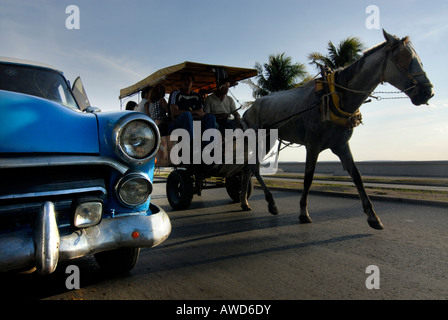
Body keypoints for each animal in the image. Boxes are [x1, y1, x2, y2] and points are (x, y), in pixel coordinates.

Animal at [238, 30, 434, 229]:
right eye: (404, 58)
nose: (428, 92)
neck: (335, 97)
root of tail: (248, 110)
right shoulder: (313, 145)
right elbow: (308, 177)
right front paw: (303, 212)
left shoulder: (341, 145)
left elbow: (357, 176)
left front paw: (373, 216)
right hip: (261, 139)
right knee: (253, 167)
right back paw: (270, 202)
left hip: (267, 139)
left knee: (247, 167)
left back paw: (244, 202)